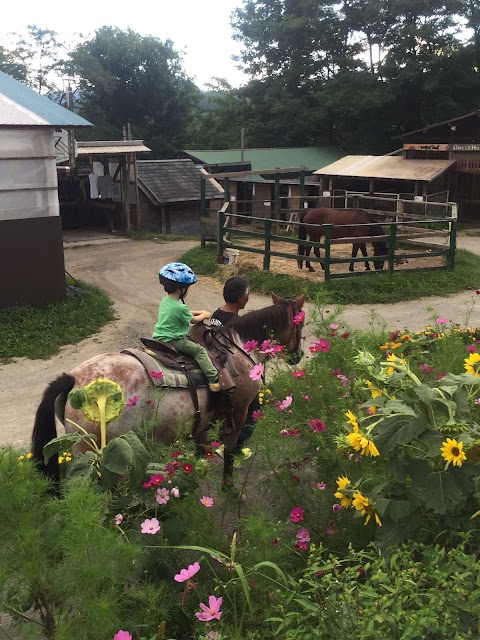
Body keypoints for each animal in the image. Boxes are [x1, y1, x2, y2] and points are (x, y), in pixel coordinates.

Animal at [31, 294, 306, 484]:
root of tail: (73, 379)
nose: (299, 356)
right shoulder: (239, 411)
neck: (238, 348)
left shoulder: (202, 422)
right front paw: (228, 488)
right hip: (93, 456)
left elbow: (200, 451)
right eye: (300, 325)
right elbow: (229, 449)